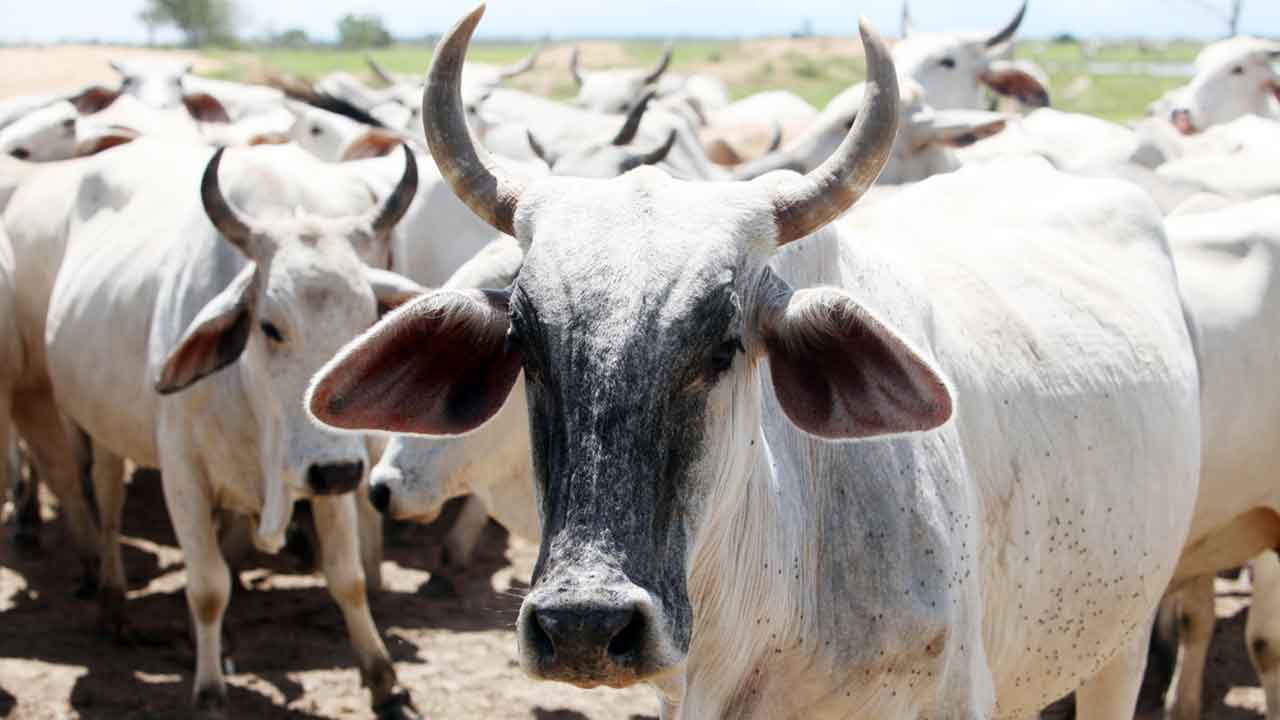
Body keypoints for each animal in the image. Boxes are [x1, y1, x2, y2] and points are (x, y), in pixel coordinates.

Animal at [41, 142, 422, 718]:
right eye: (269, 327)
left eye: (367, 325)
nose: (339, 471)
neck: (253, 404)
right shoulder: (183, 474)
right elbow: (206, 588)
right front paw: (210, 691)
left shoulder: (323, 472)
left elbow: (348, 577)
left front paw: (383, 679)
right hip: (104, 432)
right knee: (107, 509)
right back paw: (113, 603)